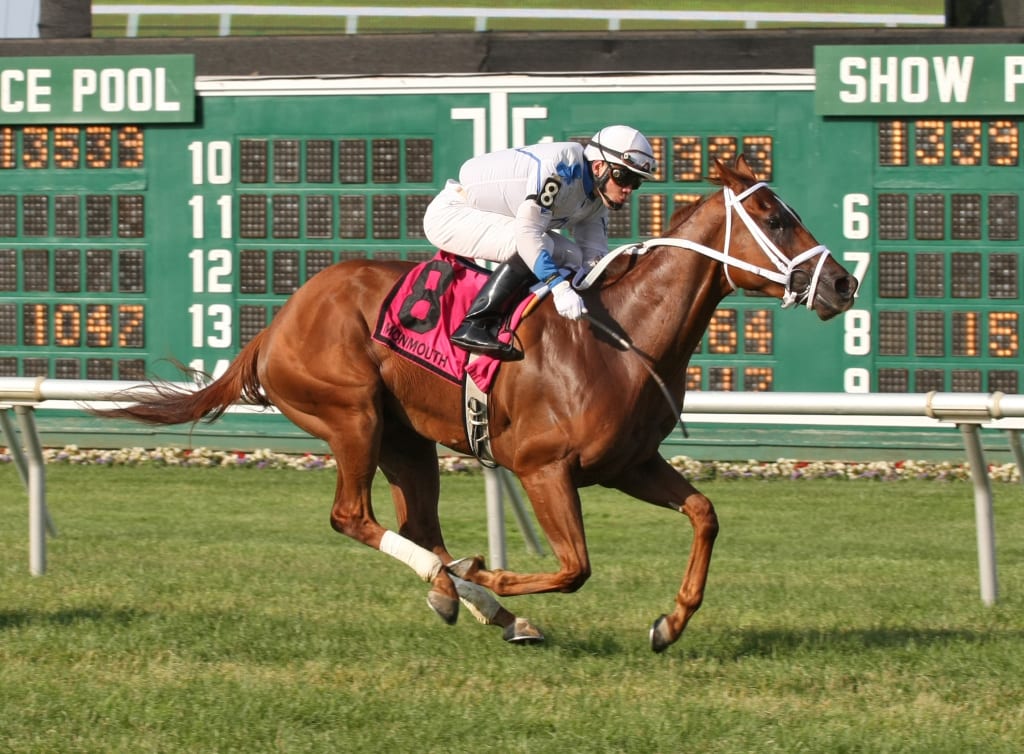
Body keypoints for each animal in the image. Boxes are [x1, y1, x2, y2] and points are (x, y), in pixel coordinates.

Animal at [101, 155, 856, 651]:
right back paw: (462, 583)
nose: (843, 283)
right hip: (351, 415)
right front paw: (487, 568)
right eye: (773, 217)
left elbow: (704, 514)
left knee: (418, 524)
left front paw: (670, 624)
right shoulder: (543, 467)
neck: (622, 336)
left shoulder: (628, 464)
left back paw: (478, 603)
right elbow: (575, 567)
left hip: (407, 440)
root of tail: (276, 323)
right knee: (355, 516)